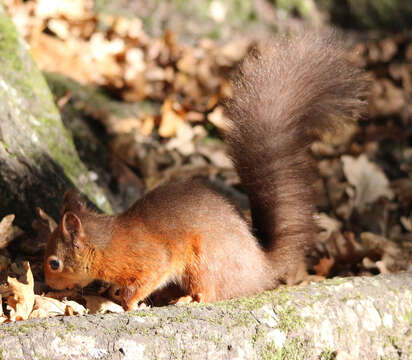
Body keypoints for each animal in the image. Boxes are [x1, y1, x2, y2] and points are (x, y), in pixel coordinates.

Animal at [43, 32, 368, 310]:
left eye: (54, 263)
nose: (47, 285)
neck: (107, 243)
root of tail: (260, 270)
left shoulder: (150, 258)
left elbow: (147, 278)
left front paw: (128, 302)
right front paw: (111, 291)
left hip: (206, 262)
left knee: (211, 292)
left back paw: (187, 300)